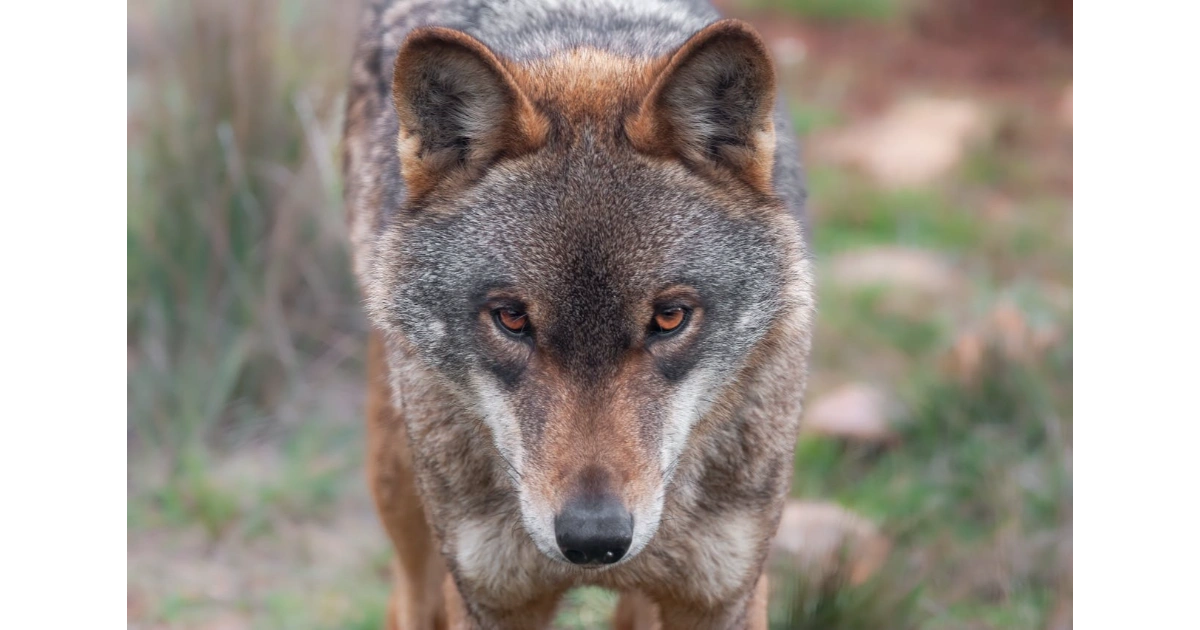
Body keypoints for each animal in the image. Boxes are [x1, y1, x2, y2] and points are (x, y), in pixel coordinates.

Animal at [341, 0, 816, 627]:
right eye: (512, 318)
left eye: (670, 317)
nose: (594, 539)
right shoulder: (490, 599)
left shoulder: (723, 596)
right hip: (402, 487)